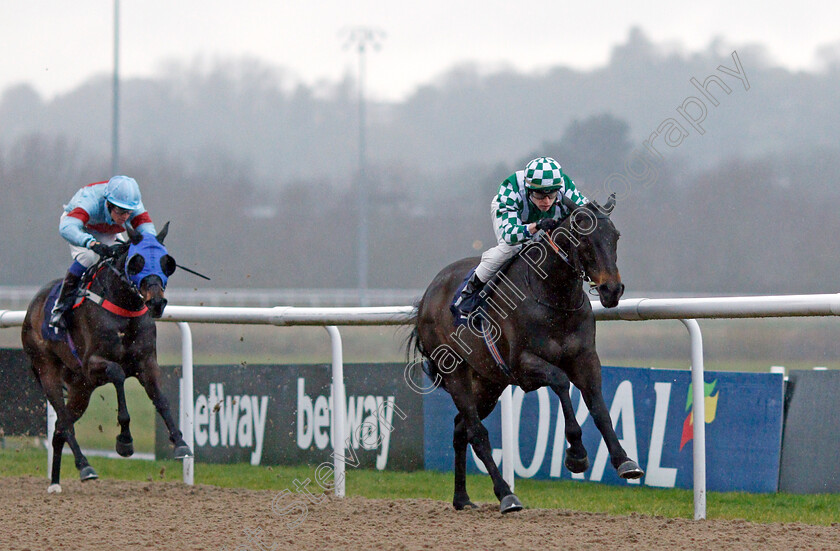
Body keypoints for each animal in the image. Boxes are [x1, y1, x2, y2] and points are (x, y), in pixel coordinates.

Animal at [21, 222, 194, 494]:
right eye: (137, 262)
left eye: (166, 262)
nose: (156, 302)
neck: (124, 309)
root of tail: (32, 308)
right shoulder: (92, 364)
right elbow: (118, 375)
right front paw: (125, 441)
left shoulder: (146, 363)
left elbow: (161, 399)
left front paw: (180, 443)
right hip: (48, 371)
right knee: (64, 423)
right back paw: (85, 466)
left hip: (81, 389)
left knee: (60, 427)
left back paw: (55, 482)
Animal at [412, 194, 644, 512]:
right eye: (583, 238)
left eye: (615, 236)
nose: (612, 289)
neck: (552, 297)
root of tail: (428, 294)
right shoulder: (523, 366)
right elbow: (560, 381)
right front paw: (576, 454)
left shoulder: (585, 358)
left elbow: (599, 408)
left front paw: (624, 461)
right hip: (457, 373)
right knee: (477, 433)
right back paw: (506, 494)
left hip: (488, 382)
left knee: (461, 428)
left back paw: (462, 499)